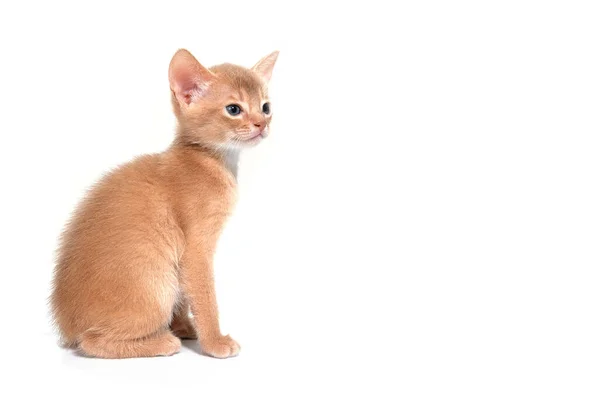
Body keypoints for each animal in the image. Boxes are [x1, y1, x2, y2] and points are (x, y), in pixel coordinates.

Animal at [49, 48, 278, 358]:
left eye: (266, 107)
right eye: (234, 109)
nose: (262, 124)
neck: (208, 160)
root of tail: (66, 324)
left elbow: (187, 294)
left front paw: (184, 325)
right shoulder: (196, 248)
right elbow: (204, 295)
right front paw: (214, 342)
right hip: (157, 286)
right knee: (91, 341)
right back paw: (162, 341)